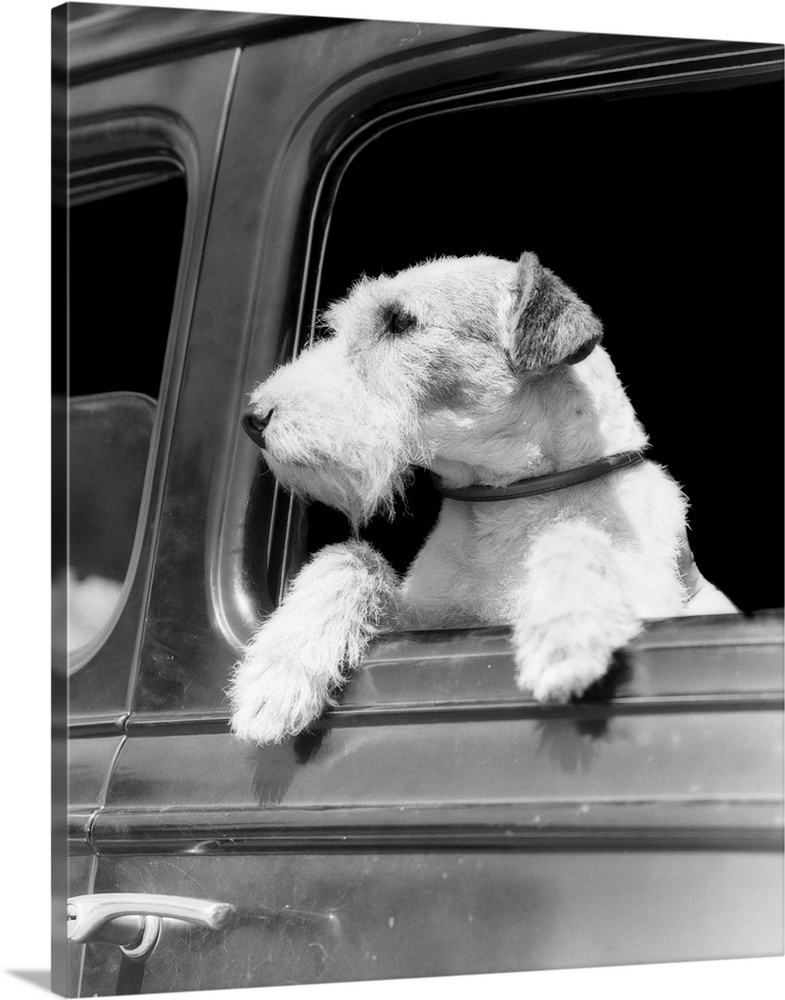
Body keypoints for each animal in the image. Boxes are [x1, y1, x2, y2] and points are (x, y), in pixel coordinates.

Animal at [230, 254, 732, 748]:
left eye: (400, 321)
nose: (253, 418)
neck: (507, 498)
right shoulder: (423, 623)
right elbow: (351, 558)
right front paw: (274, 678)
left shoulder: (659, 600)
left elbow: (573, 534)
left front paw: (564, 635)